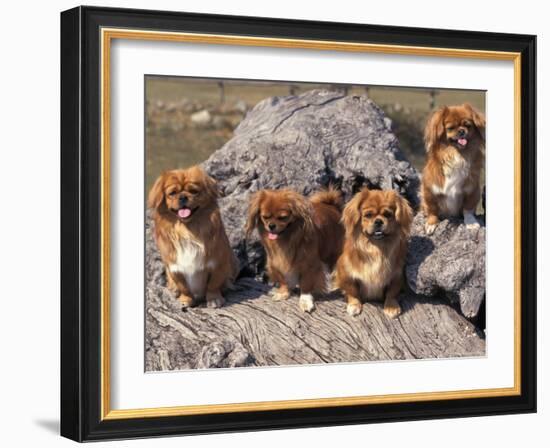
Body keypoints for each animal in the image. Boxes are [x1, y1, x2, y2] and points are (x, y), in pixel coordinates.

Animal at [422, 103, 488, 233]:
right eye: (451, 128)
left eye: (468, 125)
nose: (462, 131)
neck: (456, 155)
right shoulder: (429, 190)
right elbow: (432, 209)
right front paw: (431, 223)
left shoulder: (472, 190)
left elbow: (468, 209)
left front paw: (471, 223)